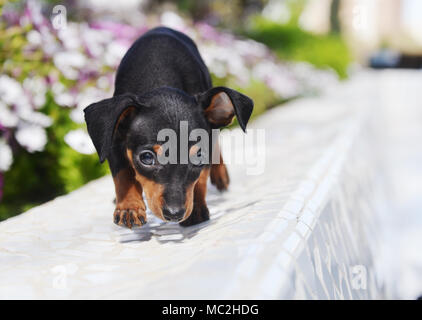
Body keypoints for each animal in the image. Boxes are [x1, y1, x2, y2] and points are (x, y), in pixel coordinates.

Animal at [84, 26, 252, 228]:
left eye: (198, 156)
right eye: (147, 158)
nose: (174, 214)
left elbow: (200, 179)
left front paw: (197, 208)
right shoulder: (113, 136)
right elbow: (122, 174)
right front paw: (129, 207)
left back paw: (220, 173)